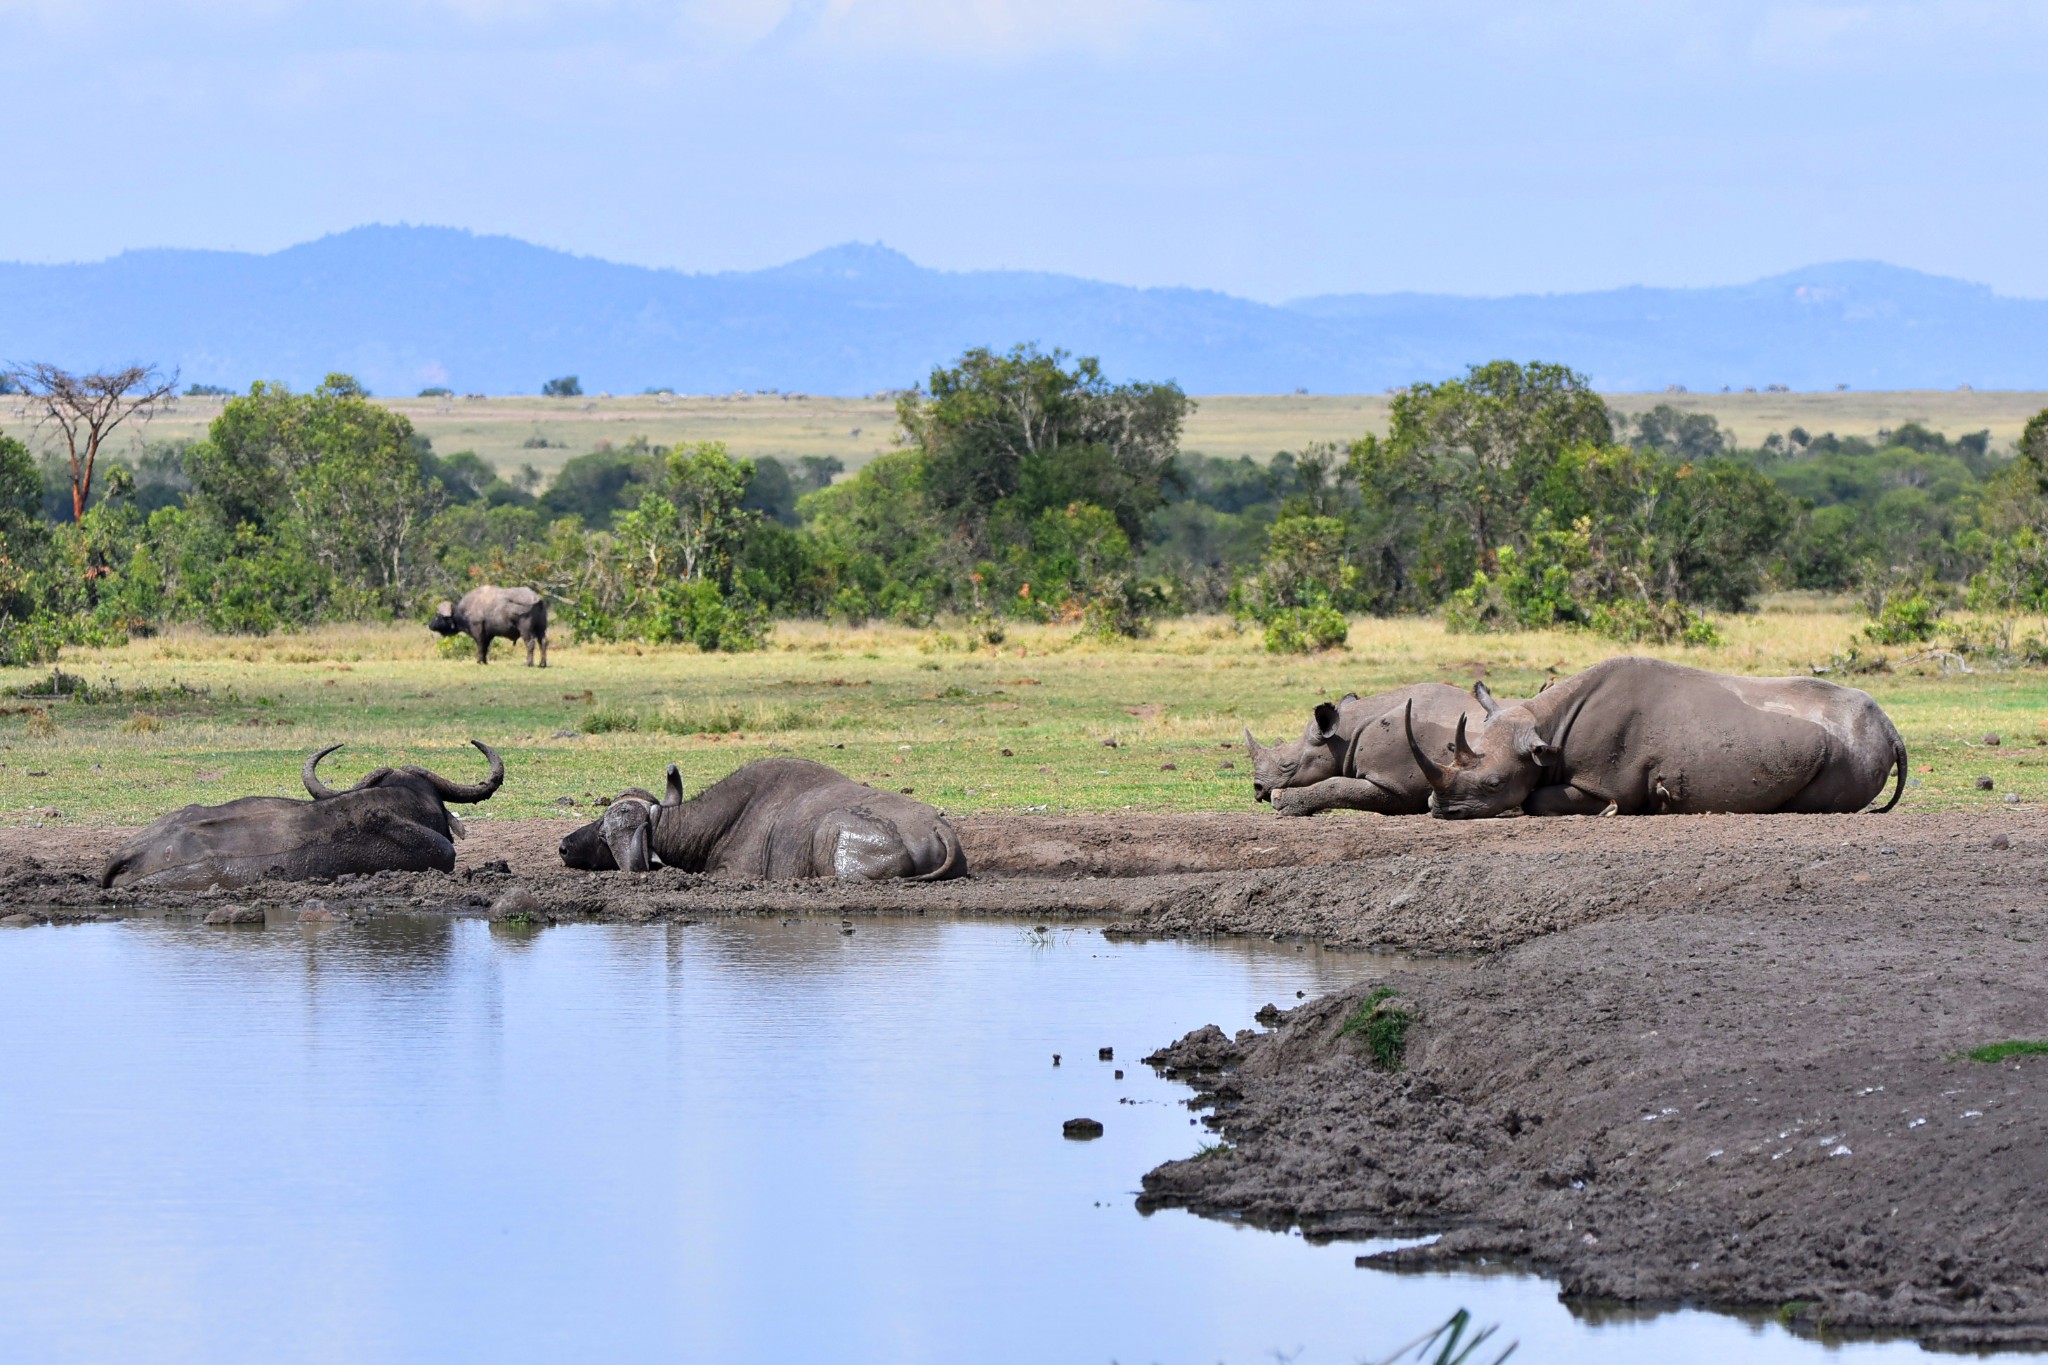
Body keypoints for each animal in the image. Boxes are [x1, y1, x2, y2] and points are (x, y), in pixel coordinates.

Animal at [1228, 679, 1507, 818]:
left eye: (1287, 766)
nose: (1258, 788)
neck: (1343, 736)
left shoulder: (1395, 786)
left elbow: (1340, 787)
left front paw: (1282, 802)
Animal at [1409, 654, 1900, 818]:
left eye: (1494, 784)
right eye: (1450, 750)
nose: (1440, 809)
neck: (1545, 727)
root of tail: (1892, 728)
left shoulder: (1604, 780)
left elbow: (1535, 799)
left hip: (1848, 752)